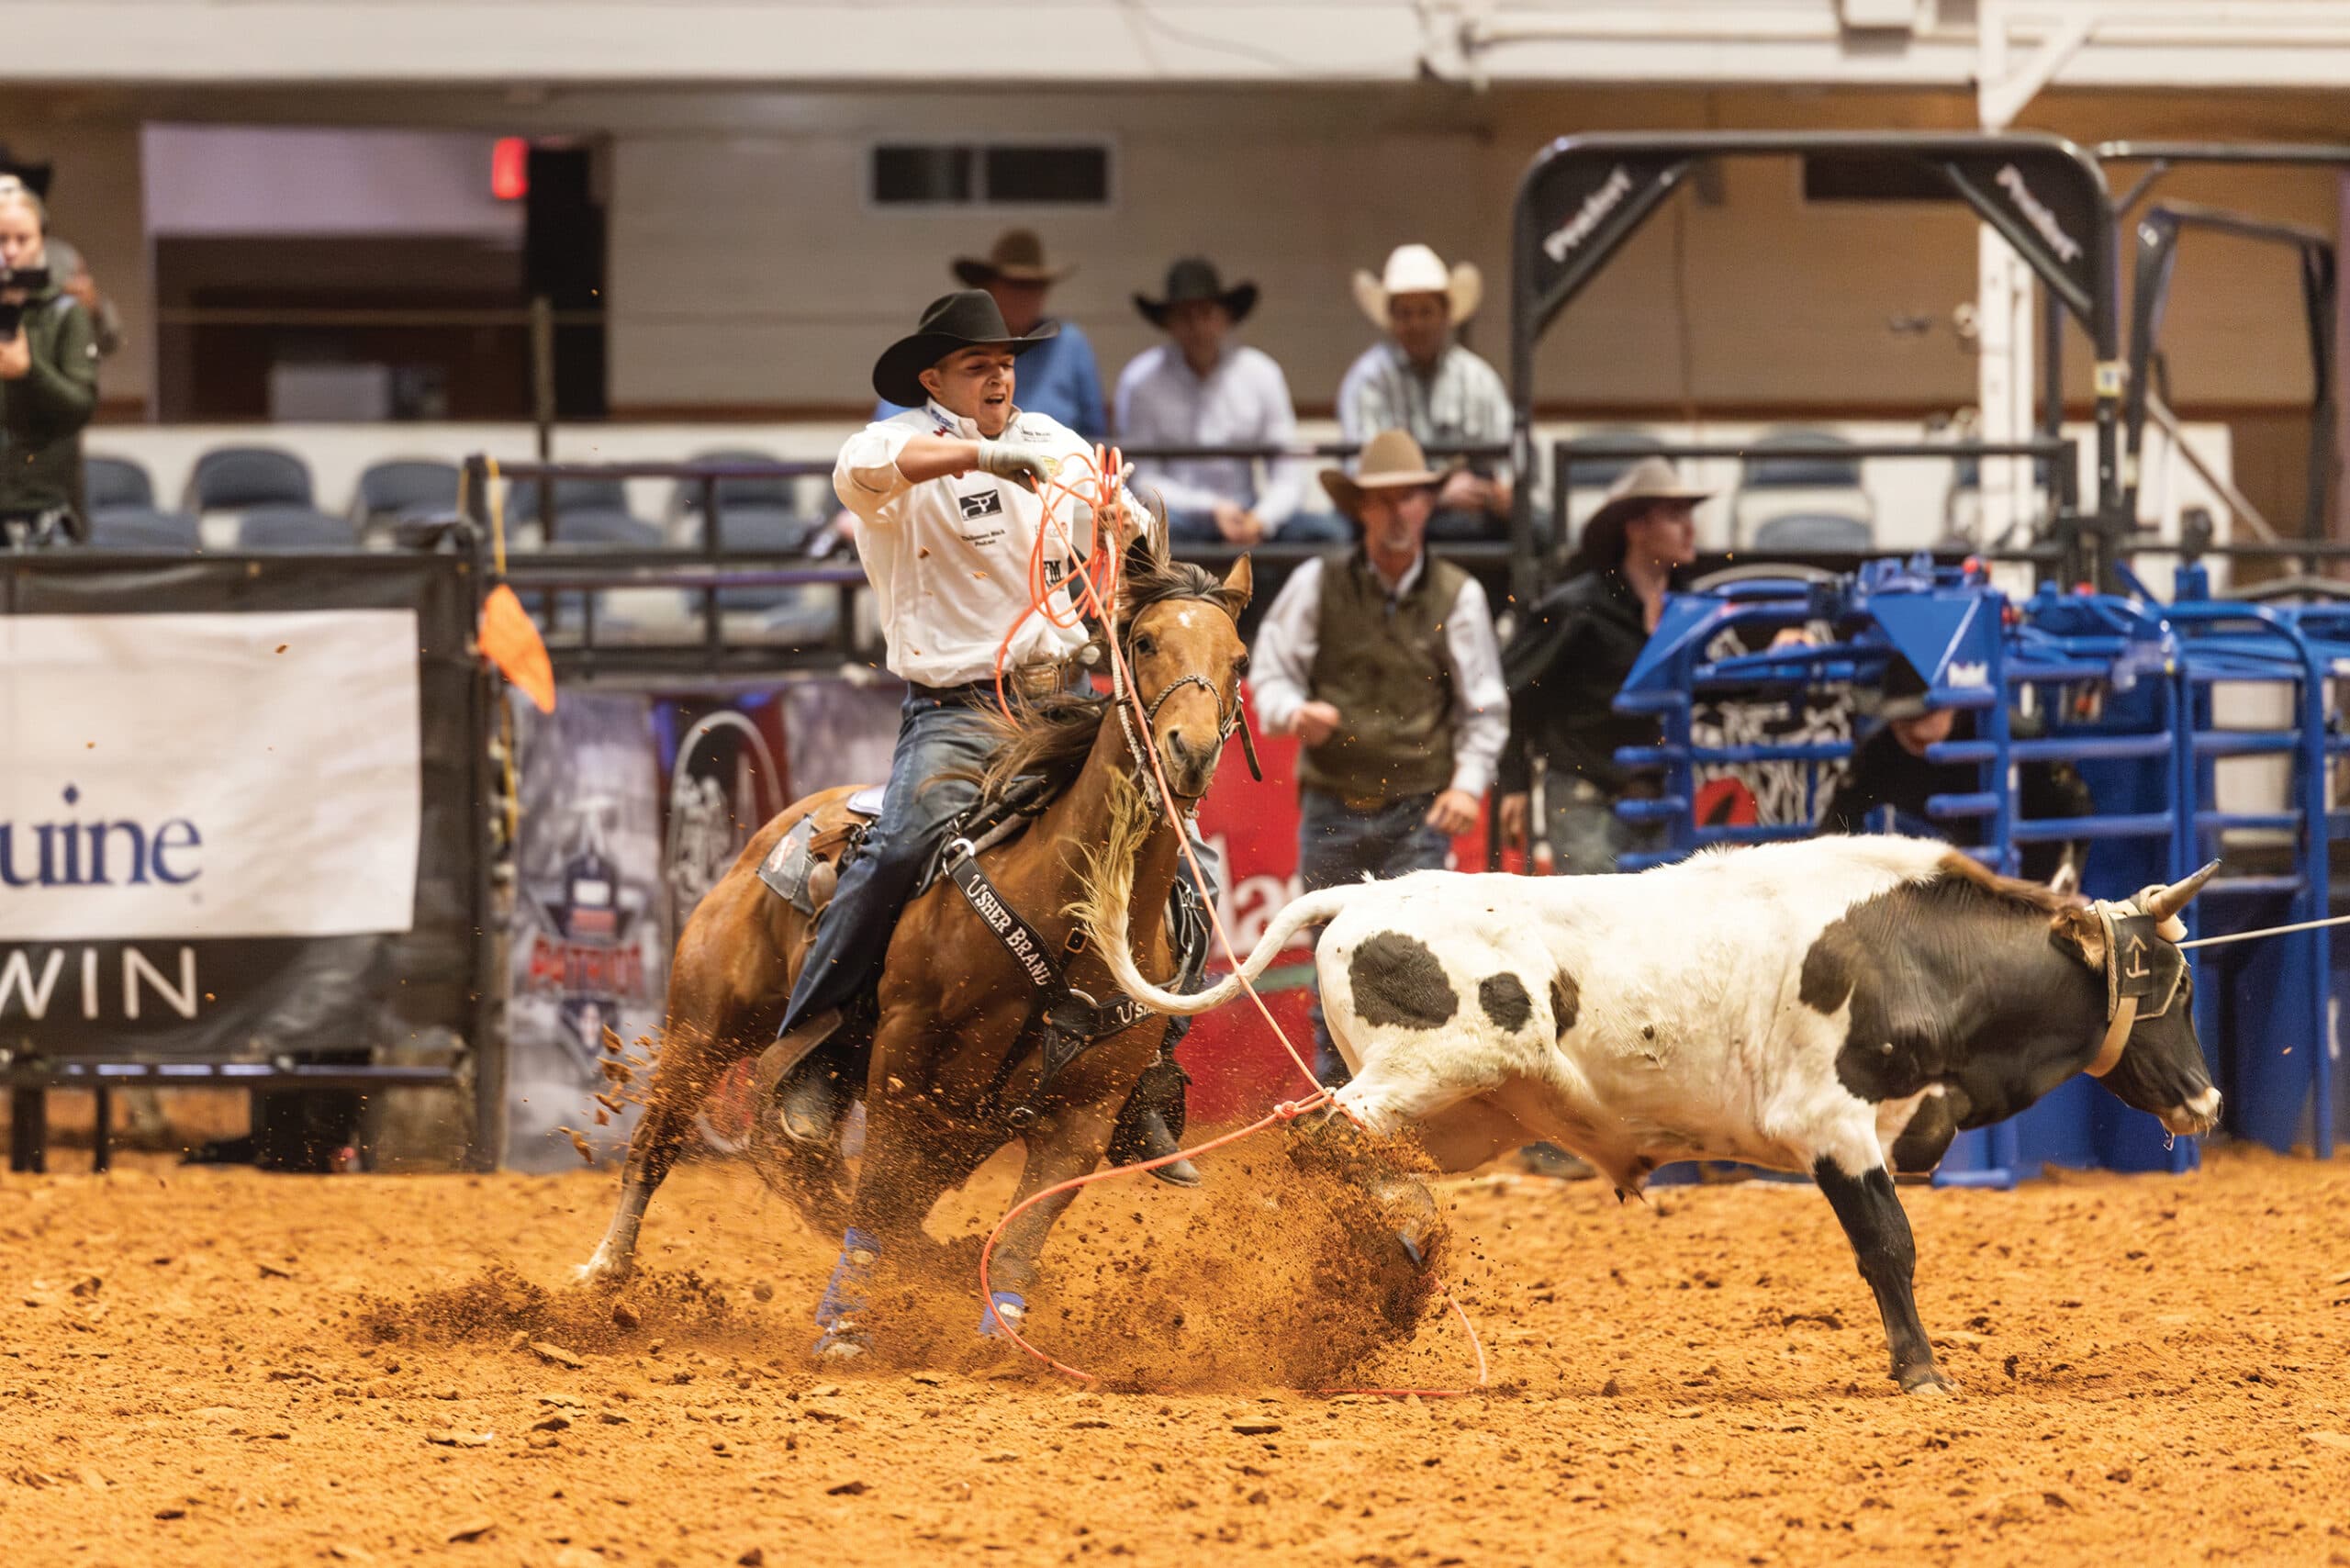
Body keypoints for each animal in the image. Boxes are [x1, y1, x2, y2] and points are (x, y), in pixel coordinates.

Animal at [575, 539, 1254, 1354]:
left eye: (1239, 659)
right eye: (1145, 642)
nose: (1189, 751)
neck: (1069, 920)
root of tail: (776, 835)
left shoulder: (1086, 1111)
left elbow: (1024, 1226)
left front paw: (1004, 1333)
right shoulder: (905, 1051)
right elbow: (880, 1188)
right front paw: (844, 1323)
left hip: (954, 1124)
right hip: (704, 1029)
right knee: (660, 1143)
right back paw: (604, 1273)